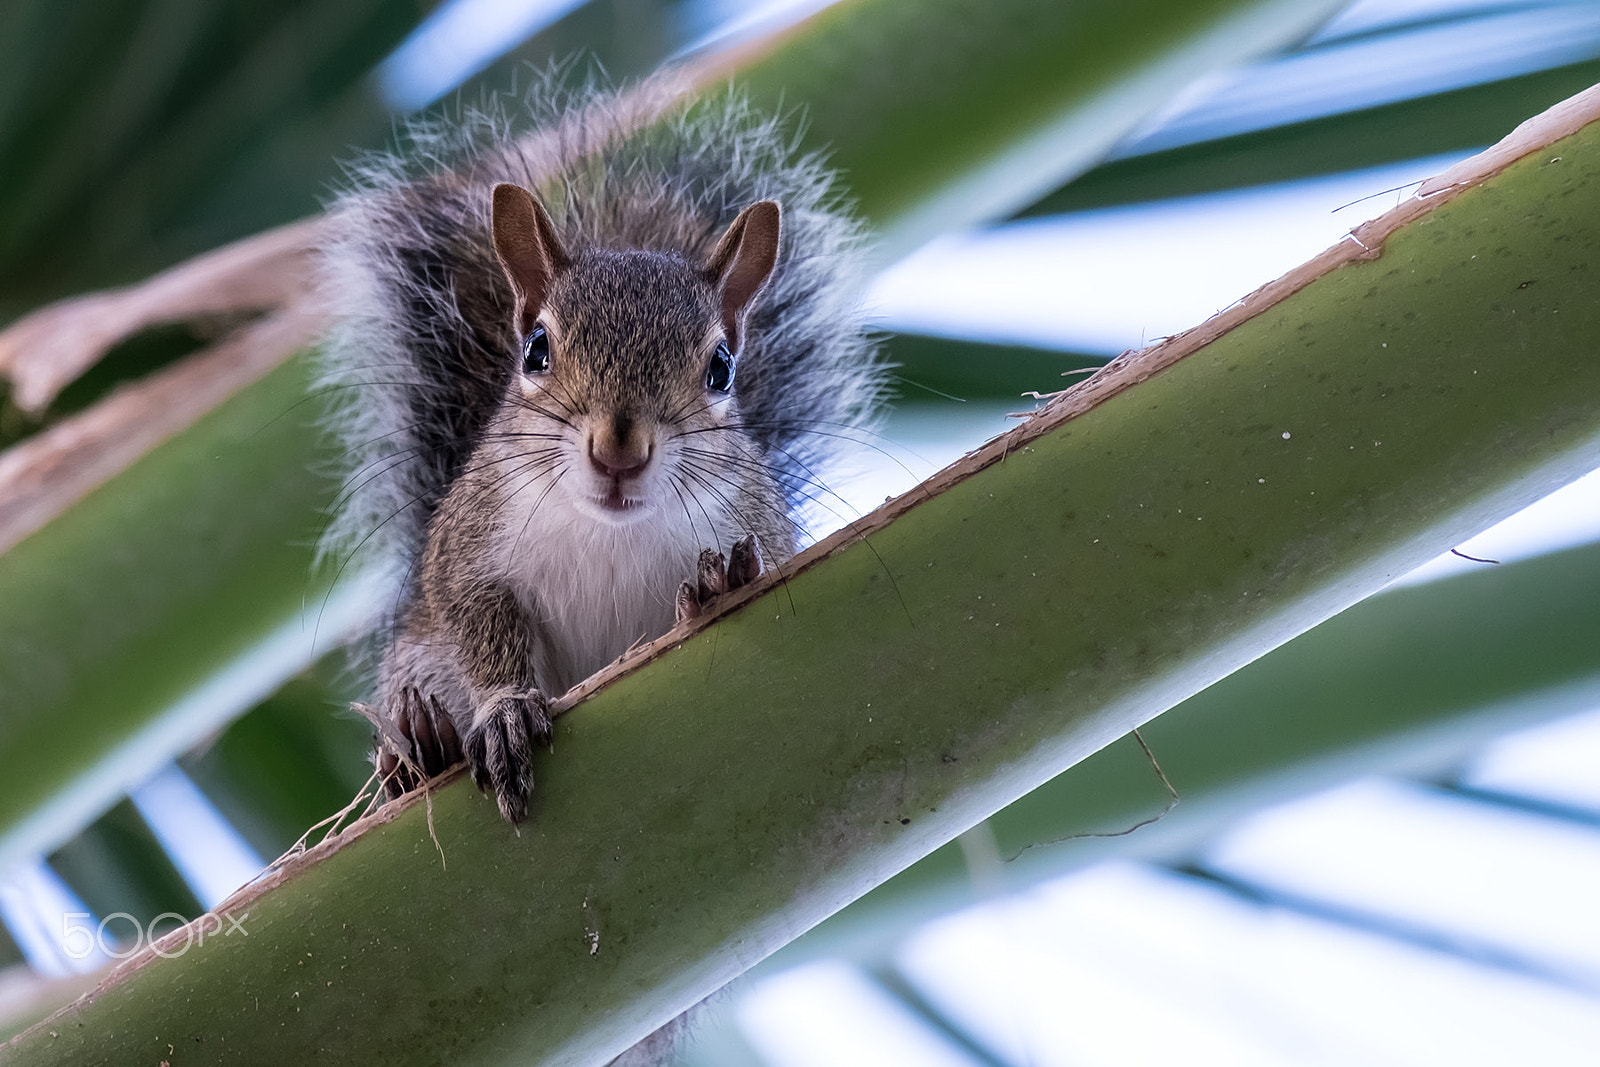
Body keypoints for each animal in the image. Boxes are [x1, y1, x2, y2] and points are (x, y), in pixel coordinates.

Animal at [312, 73, 889, 825]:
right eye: (536, 349)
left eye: (722, 368)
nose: (619, 450)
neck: (608, 530)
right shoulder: (471, 553)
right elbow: (482, 627)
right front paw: (503, 711)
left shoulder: (758, 524)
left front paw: (721, 584)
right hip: (420, 655)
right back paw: (424, 744)